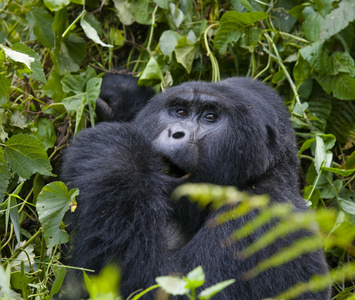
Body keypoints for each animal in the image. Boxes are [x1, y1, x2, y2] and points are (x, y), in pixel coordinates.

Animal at [62, 74, 330, 298]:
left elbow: (159, 287)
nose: (175, 133)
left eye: (210, 117)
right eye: (179, 112)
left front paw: (114, 152)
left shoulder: (260, 221)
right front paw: (122, 96)